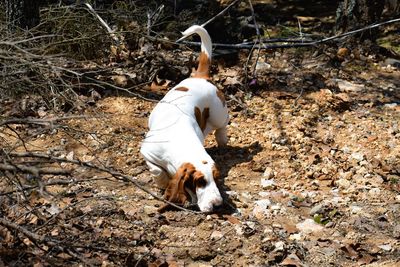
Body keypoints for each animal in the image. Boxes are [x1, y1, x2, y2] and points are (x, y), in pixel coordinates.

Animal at [140, 25, 228, 214]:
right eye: (200, 182)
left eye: (216, 178)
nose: (218, 204)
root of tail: (201, 77)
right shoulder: (146, 152)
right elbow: (157, 171)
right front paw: (163, 182)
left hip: (218, 113)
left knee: (222, 125)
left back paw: (222, 138)